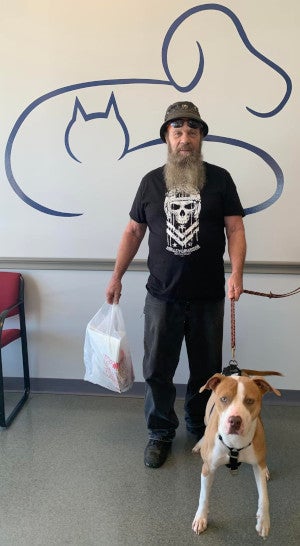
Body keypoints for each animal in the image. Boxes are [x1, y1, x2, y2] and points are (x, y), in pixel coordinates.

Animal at [192, 370, 282, 536]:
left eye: (250, 401)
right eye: (224, 399)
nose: (234, 420)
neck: (234, 443)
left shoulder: (257, 467)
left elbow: (264, 496)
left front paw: (263, 520)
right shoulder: (208, 468)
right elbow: (203, 496)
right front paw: (201, 518)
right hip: (206, 417)